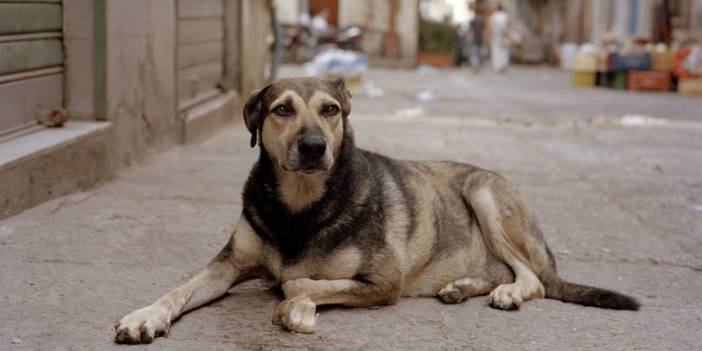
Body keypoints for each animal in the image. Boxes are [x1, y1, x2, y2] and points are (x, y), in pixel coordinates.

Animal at [113, 77, 640, 344]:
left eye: (330, 110)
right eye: (282, 109)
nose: (313, 147)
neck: (299, 204)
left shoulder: (384, 281)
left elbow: (298, 282)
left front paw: (296, 308)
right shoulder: (228, 264)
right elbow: (179, 290)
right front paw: (145, 315)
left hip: (484, 193)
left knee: (532, 279)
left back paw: (507, 292)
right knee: (504, 272)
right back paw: (462, 286)